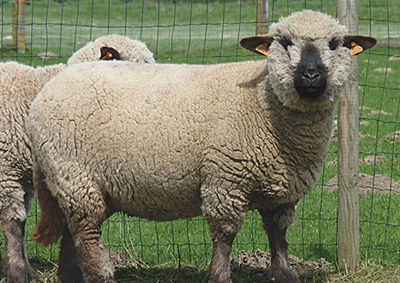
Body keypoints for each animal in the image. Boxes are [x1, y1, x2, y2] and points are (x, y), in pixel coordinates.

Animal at [27, 11, 376, 283]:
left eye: (335, 44)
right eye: (285, 42)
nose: (311, 74)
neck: (263, 101)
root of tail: (52, 84)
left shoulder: (282, 187)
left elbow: (278, 233)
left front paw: (284, 274)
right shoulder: (225, 177)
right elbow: (225, 234)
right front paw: (219, 276)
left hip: (83, 185)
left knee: (72, 232)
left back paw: (72, 275)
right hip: (75, 176)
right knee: (86, 233)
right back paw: (101, 274)